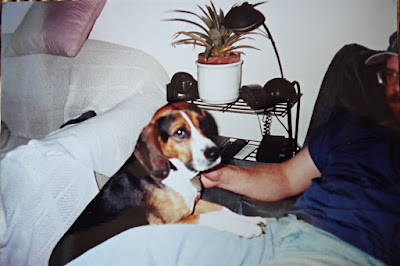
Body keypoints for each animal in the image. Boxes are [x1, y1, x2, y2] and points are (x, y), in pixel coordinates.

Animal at [51, 102, 268, 266]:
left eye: (203, 125)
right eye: (179, 132)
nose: (215, 153)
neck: (176, 172)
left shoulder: (193, 204)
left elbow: (223, 210)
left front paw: (251, 220)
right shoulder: (174, 222)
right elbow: (214, 218)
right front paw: (247, 229)